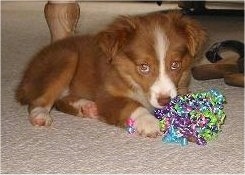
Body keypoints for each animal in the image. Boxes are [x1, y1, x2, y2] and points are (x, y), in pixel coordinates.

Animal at [15, 11, 207, 137]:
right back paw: (40, 115)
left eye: (175, 65)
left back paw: (87, 106)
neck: (129, 77)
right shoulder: (106, 96)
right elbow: (131, 105)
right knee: (39, 101)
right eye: (144, 67)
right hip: (66, 57)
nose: (165, 101)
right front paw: (149, 122)